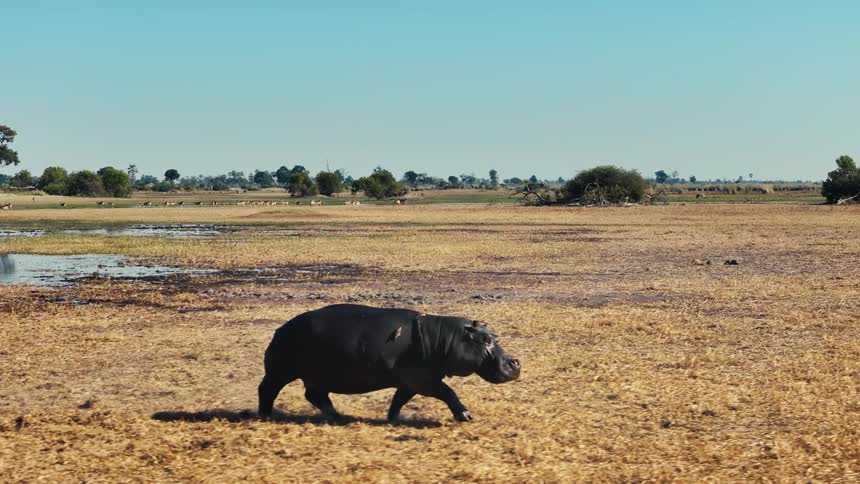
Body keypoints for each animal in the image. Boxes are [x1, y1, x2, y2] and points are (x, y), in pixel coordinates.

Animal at [258, 304, 521, 422]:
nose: (515, 362)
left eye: (495, 336)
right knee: (267, 390)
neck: (446, 338)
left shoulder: (411, 382)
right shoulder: (424, 380)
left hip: (315, 376)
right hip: (280, 372)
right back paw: (265, 416)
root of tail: (281, 329)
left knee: (315, 395)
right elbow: (448, 392)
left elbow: (399, 400)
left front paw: (393, 419)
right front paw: (466, 416)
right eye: (485, 339)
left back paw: (339, 416)